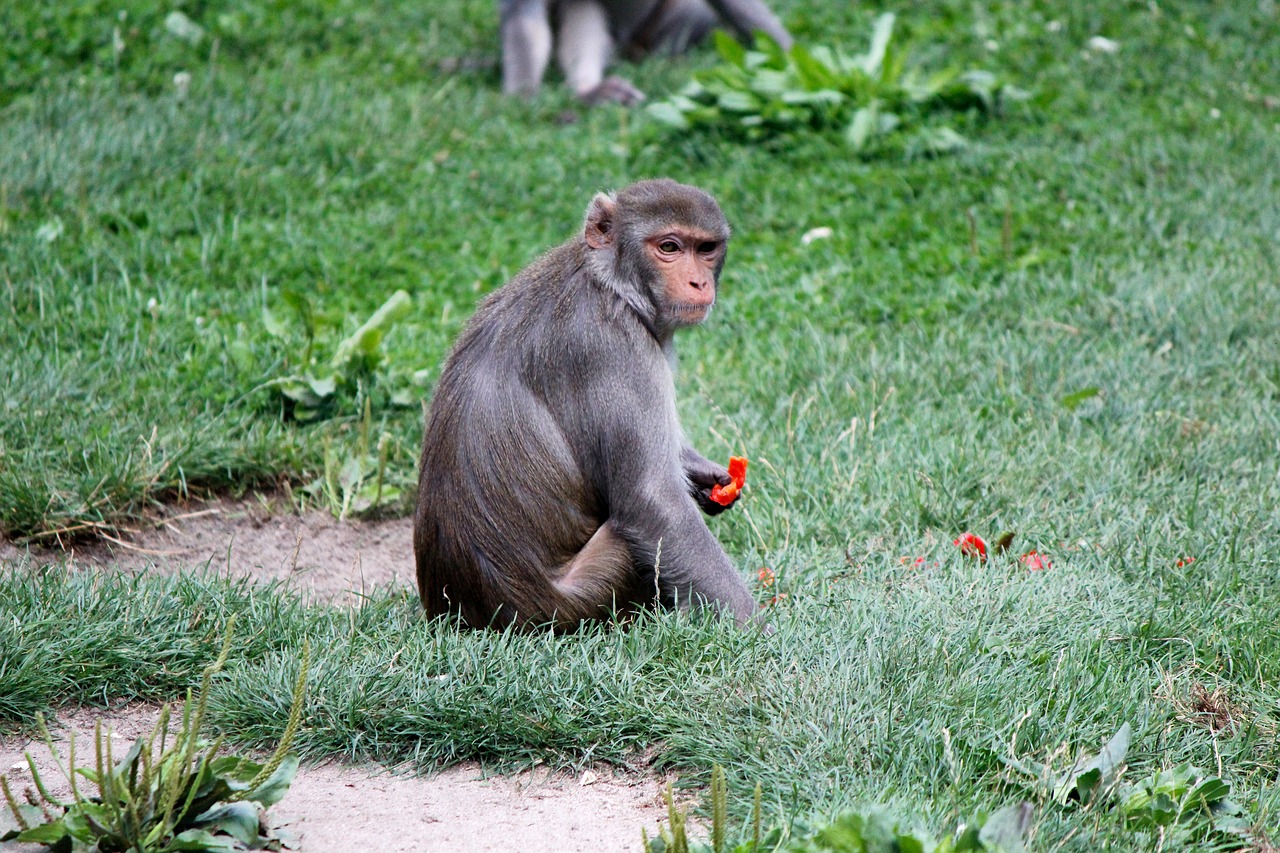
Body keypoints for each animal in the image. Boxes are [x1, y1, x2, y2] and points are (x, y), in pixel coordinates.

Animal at [414, 179, 761, 630]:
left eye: (706, 249)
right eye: (668, 247)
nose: (699, 284)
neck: (610, 284)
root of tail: (463, 611)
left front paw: (709, 478)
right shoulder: (611, 346)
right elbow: (652, 500)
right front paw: (756, 627)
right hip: (585, 596)